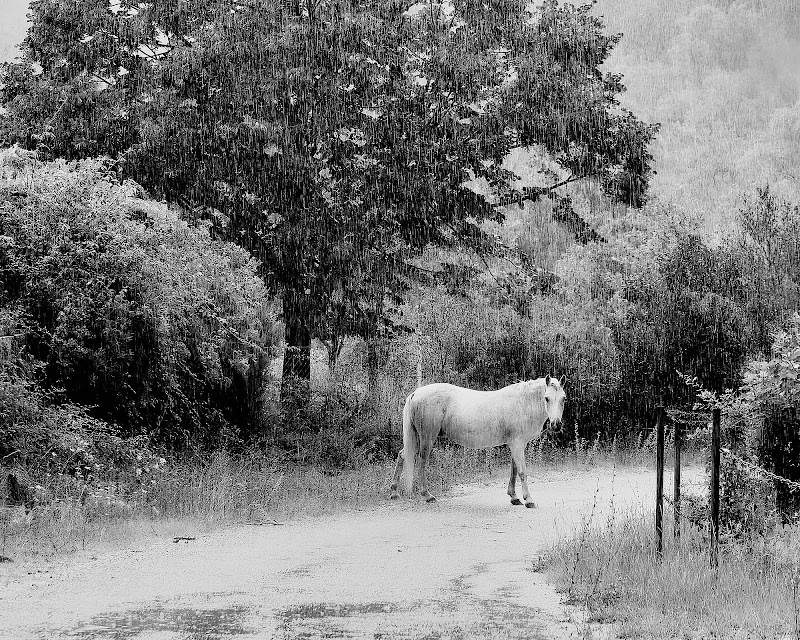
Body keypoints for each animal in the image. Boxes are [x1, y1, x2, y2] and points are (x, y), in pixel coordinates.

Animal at [390, 376, 564, 504]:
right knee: (421, 462)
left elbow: (513, 470)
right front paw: (528, 500)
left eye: (563, 398)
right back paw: (427, 495)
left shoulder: (516, 445)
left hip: (416, 439)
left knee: (403, 455)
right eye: (547, 398)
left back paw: (394, 493)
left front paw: (514, 497)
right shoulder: (517, 445)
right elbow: (522, 471)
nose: (556, 424)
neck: (522, 403)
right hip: (427, 438)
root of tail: (416, 393)